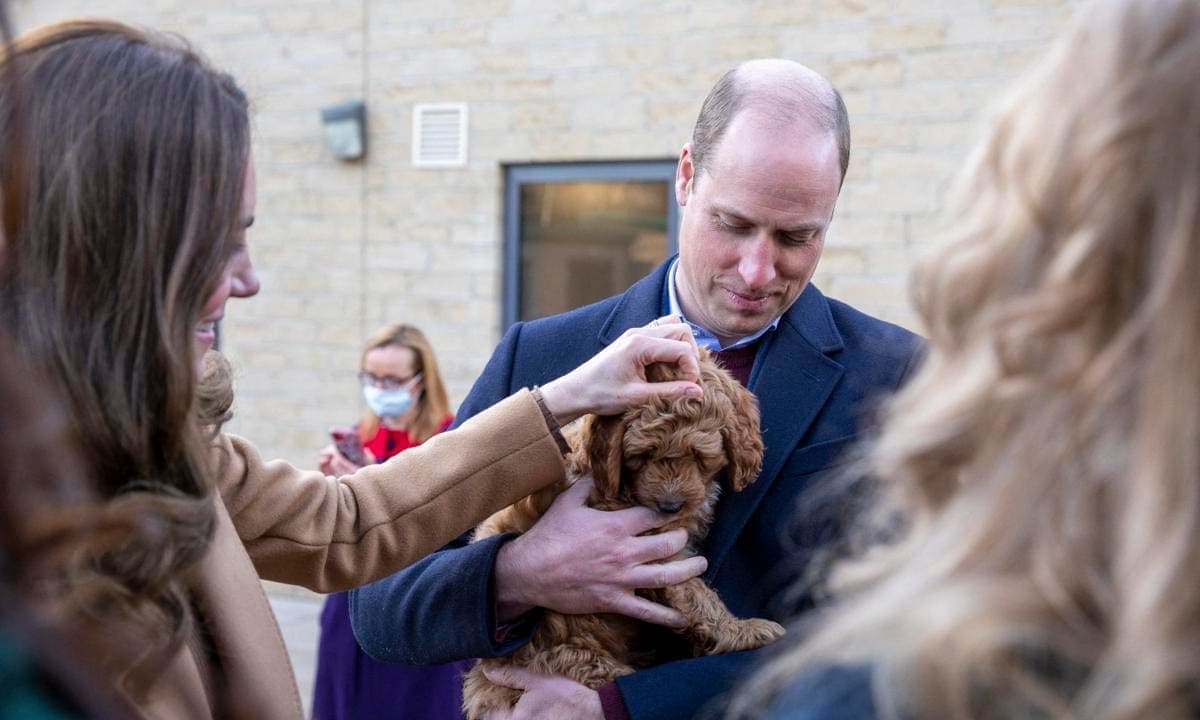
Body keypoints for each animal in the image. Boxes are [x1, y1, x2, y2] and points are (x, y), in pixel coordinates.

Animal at [460, 348, 787, 715]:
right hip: (572, 661)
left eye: (699, 455)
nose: (671, 505)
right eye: (642, 456)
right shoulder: (644, 547)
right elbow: (695, 593)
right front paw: (742, 630)